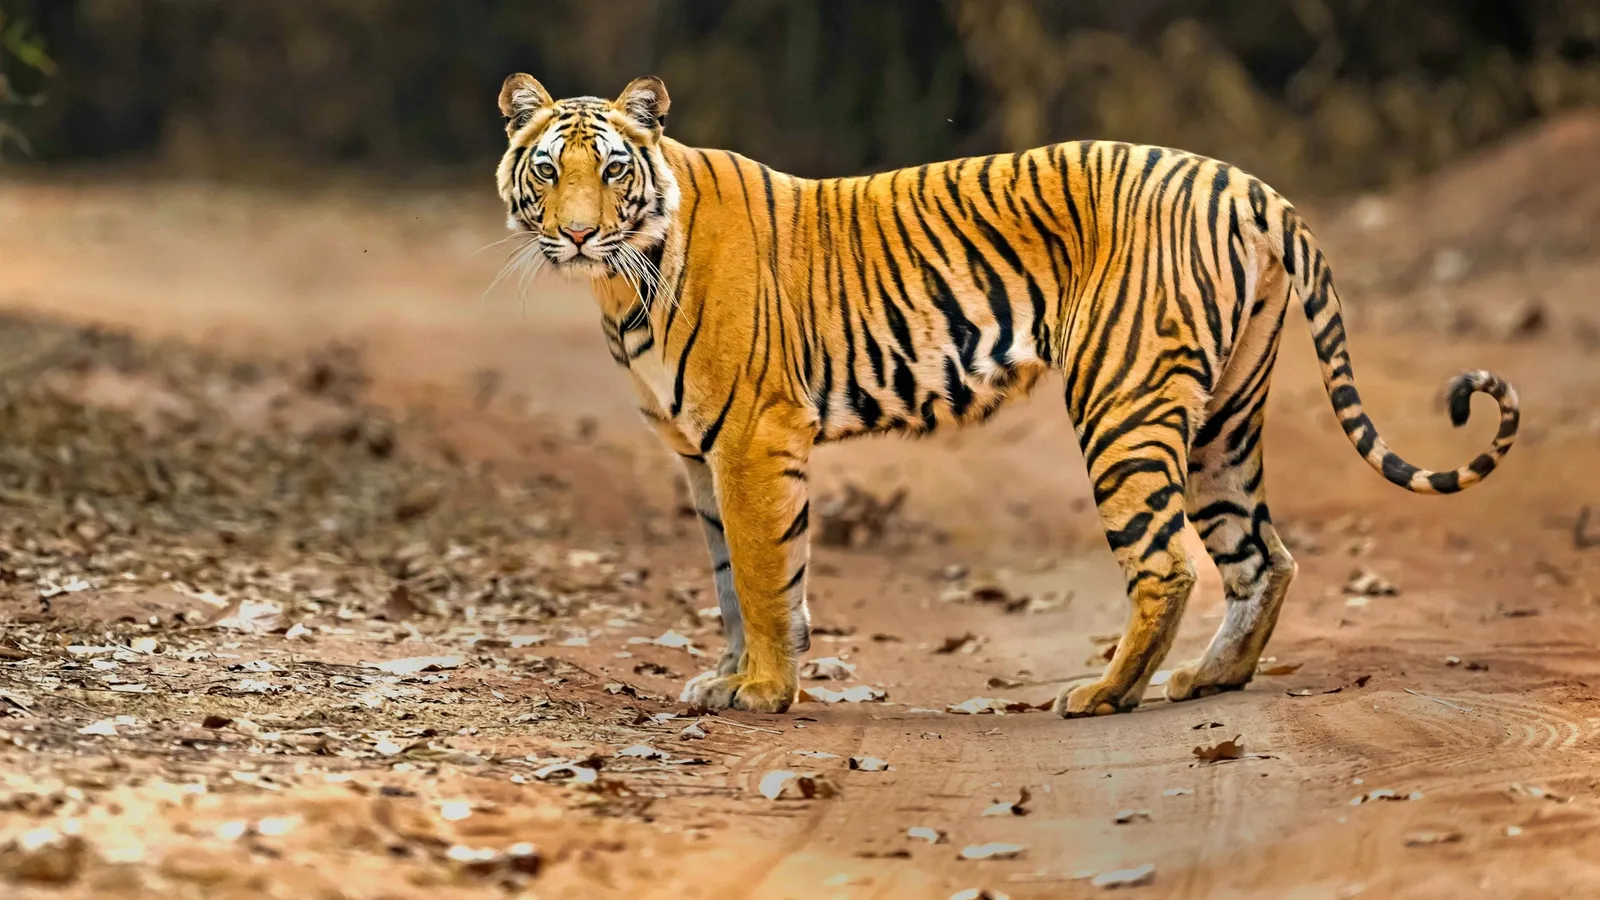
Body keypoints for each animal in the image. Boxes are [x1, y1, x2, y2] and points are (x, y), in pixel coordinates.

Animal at [494, 74, 1520, 716]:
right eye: (548, 170)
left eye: (612, 169)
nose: (577, 235)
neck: (622, 280)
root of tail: (1246, 183)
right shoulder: (699, 454)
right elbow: (724, 584)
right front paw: (725, 680)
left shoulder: (753, 438)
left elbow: (762, 575)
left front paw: (765, 694)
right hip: (1226, 419)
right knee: (1261, 555)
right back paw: (1207, 682)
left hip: (1122, 402)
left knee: (1168, 563)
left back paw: (1104, 695)